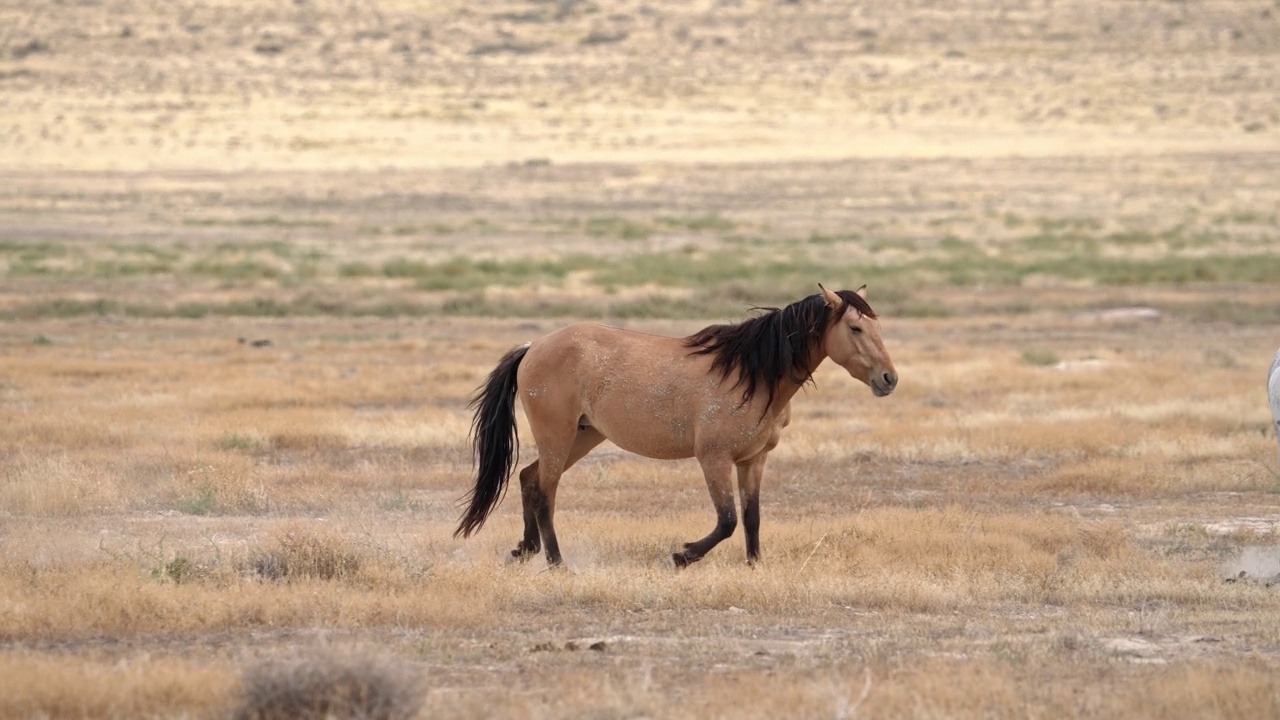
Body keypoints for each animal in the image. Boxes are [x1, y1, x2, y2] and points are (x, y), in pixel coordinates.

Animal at [455, 284, 896, 566]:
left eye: (878, 327)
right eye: (855, 328)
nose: (889, 379)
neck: (752, 375)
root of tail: (534, 348)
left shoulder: (753, 461)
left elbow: (751, 517)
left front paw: (755, 564)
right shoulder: (713, 458)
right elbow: (727, 520)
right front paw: (682, 555)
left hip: (581, 436)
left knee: (529, 480)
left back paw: (523, 551)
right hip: (558, 437)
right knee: (545, 493)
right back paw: (556, 562)